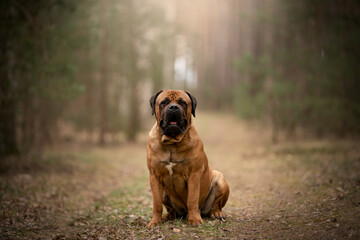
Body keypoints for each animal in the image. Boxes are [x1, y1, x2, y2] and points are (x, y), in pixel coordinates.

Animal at [147, 89, 229, 227]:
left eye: (182, 102)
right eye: (164, 102)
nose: (173, 107)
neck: (172, 142)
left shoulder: (194, 174)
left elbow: (192, 199)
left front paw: (195, 220)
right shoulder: (154, 176)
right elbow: (156, 204)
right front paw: (154, 222)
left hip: (220, 180)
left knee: (217, 204)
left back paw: (216, 213)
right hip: (164, 193)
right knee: (171, 209)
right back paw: (168, 216)